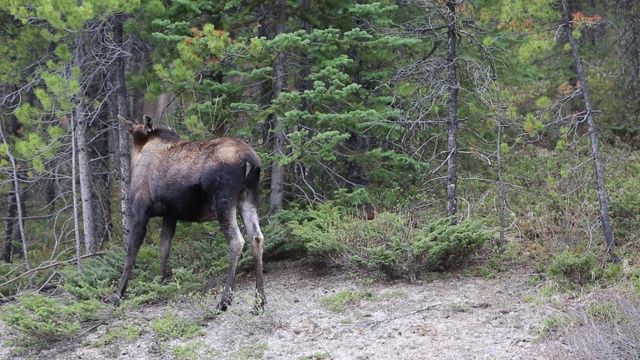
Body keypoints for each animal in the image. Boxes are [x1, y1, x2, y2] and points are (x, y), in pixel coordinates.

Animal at [112, 115, 264, 312]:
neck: (138, 151)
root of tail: (251, 161)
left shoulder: (140, 212)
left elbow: (131, 253)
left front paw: (118, 295)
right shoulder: (170, 215)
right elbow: (164, 249)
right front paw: (160, 284)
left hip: (223, 200)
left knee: (237, 241)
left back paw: (224, 300)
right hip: (249, 197)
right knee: (256, 237)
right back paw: (260, 301)